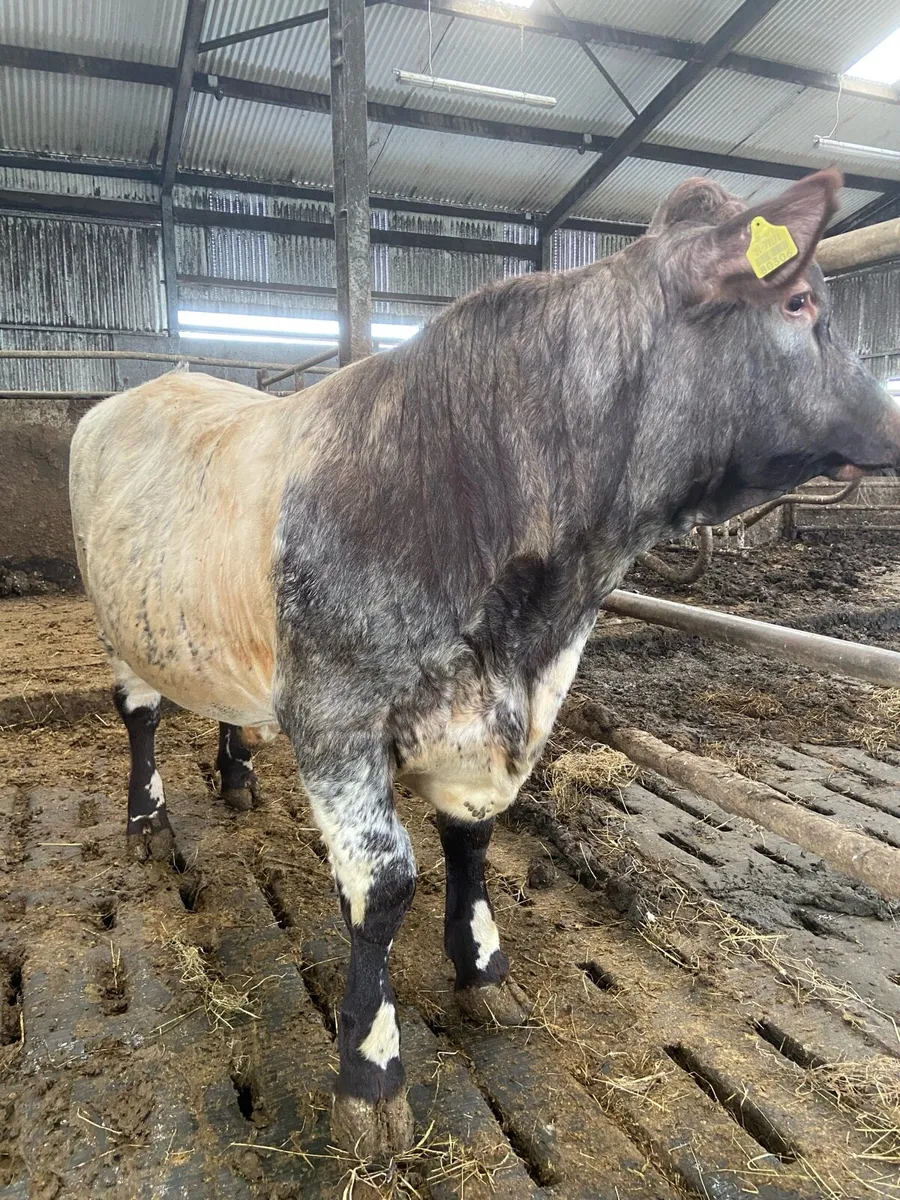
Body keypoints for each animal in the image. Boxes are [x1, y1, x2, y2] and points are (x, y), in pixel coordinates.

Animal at [69, 169, 900, 1157]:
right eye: (800, 299)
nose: (893, 422)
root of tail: (143, 388)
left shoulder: (496, 719)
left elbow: (473, 839)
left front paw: (482, 970)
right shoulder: (336, 716)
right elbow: (384, 886)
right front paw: (371, 1072)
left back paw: (235, 775)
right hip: (118, 622)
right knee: (141, 714)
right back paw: (147, 820)